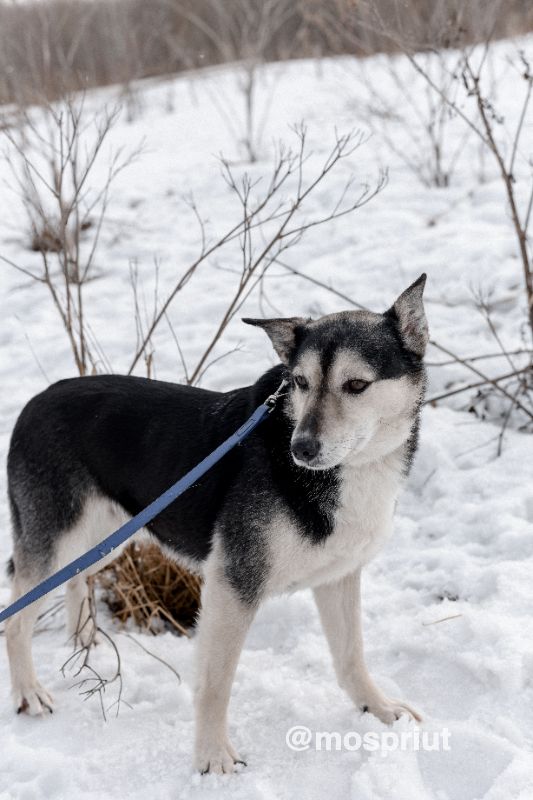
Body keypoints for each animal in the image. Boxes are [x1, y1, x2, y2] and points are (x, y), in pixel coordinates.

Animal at [4, 272, 428, 772]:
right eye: (300, 382)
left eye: (357, 384)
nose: (301, 448)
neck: (347, 474)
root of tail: (33, 403)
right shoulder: (233, 585)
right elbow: (217, 682)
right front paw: (212, 757)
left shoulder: (338, 578)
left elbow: (351, 655)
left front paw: (377, 709)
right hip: (58, 543)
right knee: (17, 621)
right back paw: (29, 693)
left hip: (102, 537)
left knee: (76, 580)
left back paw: (84, 641)